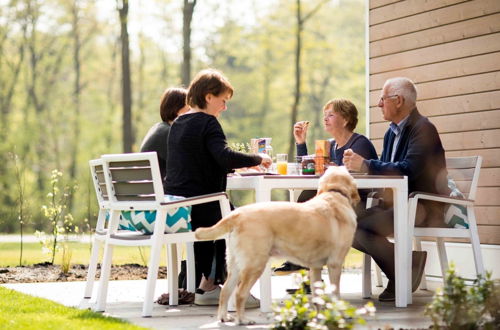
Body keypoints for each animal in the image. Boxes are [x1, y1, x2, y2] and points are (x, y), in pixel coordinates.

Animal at [195, 166, 360, 324]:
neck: (335, 193)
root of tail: (237, 214)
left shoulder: (315, 267)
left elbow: (317, 296)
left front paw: (319, 317)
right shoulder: (335, 263)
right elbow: (335, 294)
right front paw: (339, 315)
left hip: (235, 265)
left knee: (226, 291)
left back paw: (224, 317)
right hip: (255, 265)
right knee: (239, 293)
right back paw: (242, 320)